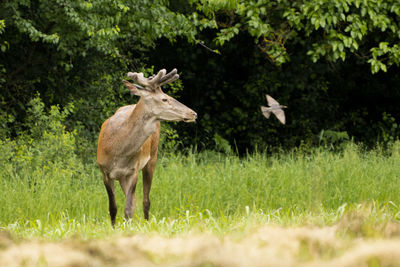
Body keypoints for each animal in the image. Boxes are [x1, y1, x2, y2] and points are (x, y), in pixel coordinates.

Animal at [97, 68, 197, 226]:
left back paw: (146, 222)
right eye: (164, 99)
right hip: (124, 175)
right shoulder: (104, 171)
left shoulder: (134, 170)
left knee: (145, 201)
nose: (193, 113)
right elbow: (113, 208)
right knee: (135, 200)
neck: (117, 150)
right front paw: (114, 228)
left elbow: (128, 208)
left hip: (152, 158)